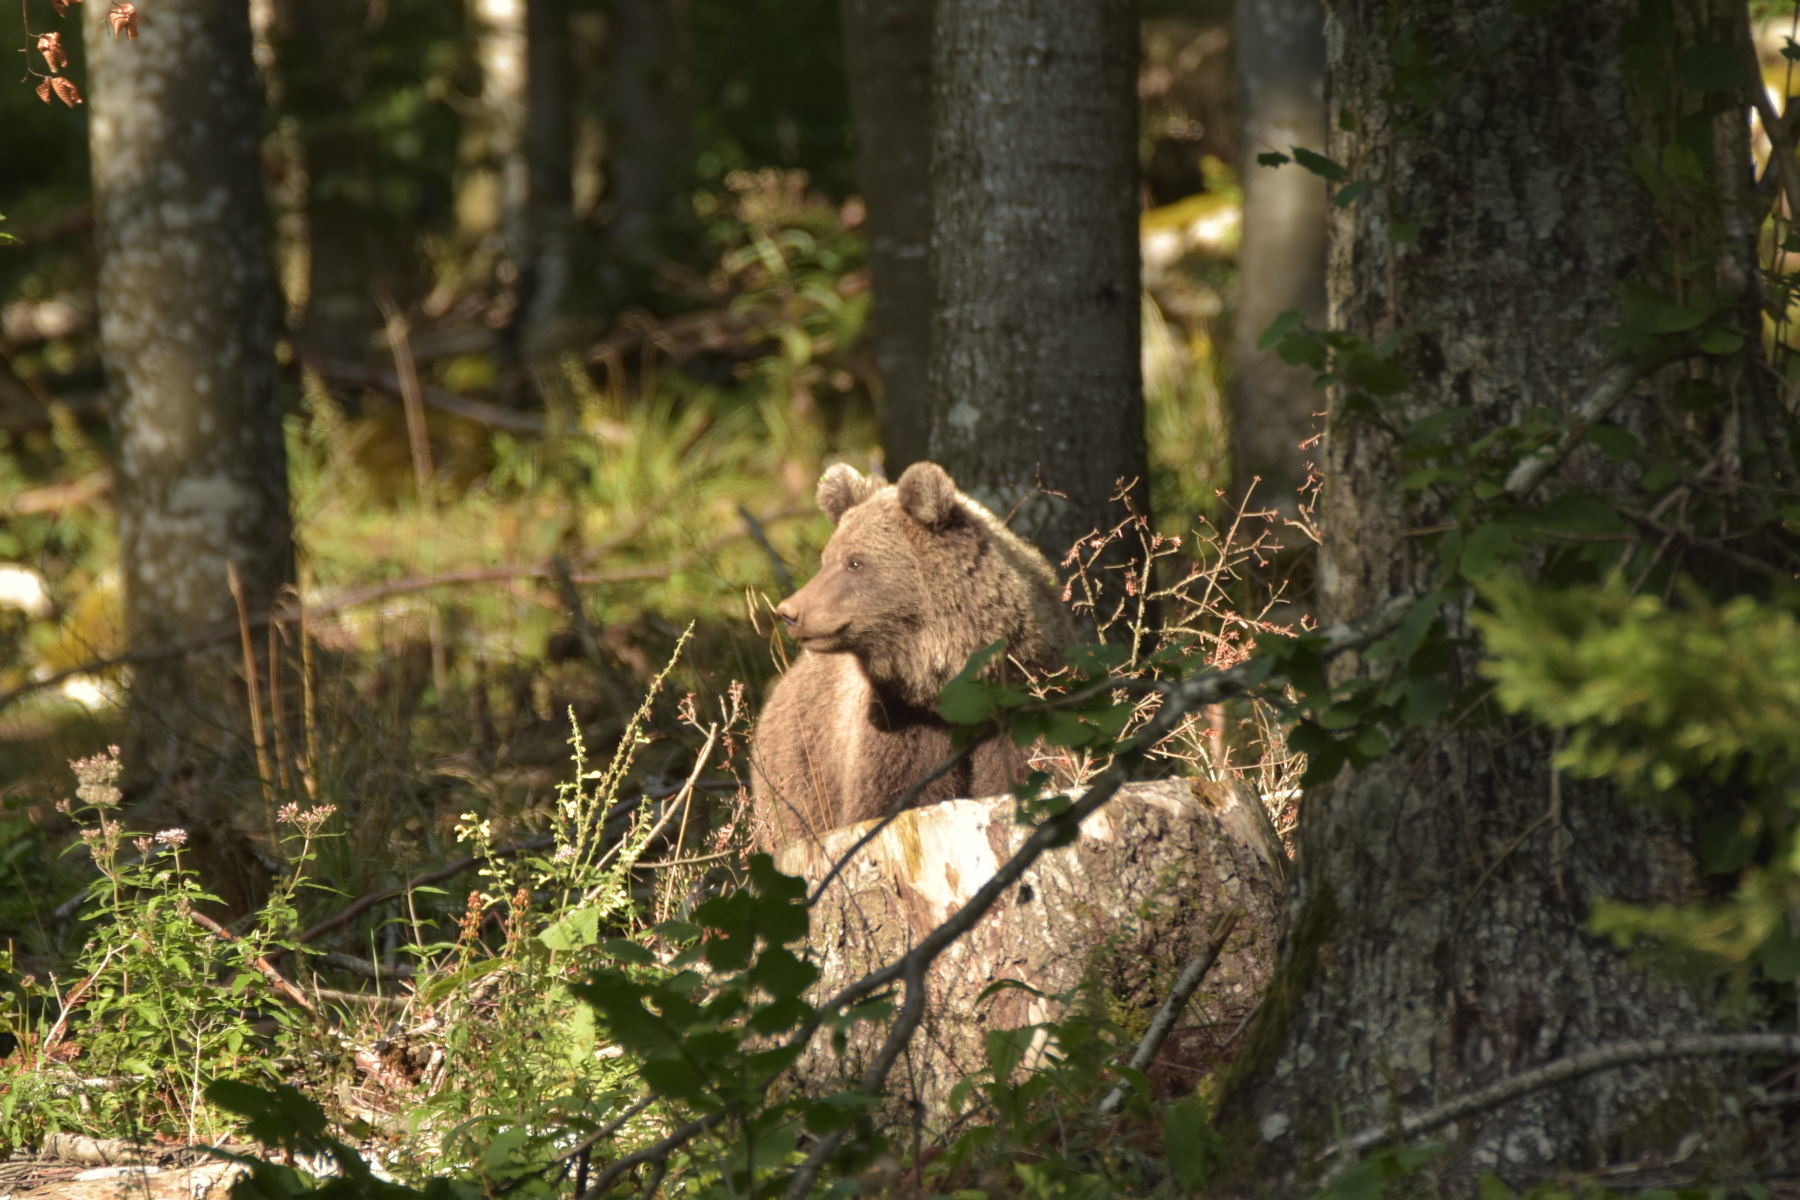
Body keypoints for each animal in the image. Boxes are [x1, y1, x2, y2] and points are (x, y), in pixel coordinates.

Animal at [745, 464, 1065, 852]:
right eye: (826, 559)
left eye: (855, 562)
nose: (789, 612)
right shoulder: (902, 720)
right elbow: (890, 797)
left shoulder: (1026, 702)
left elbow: (1030, 771)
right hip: (800, 769)